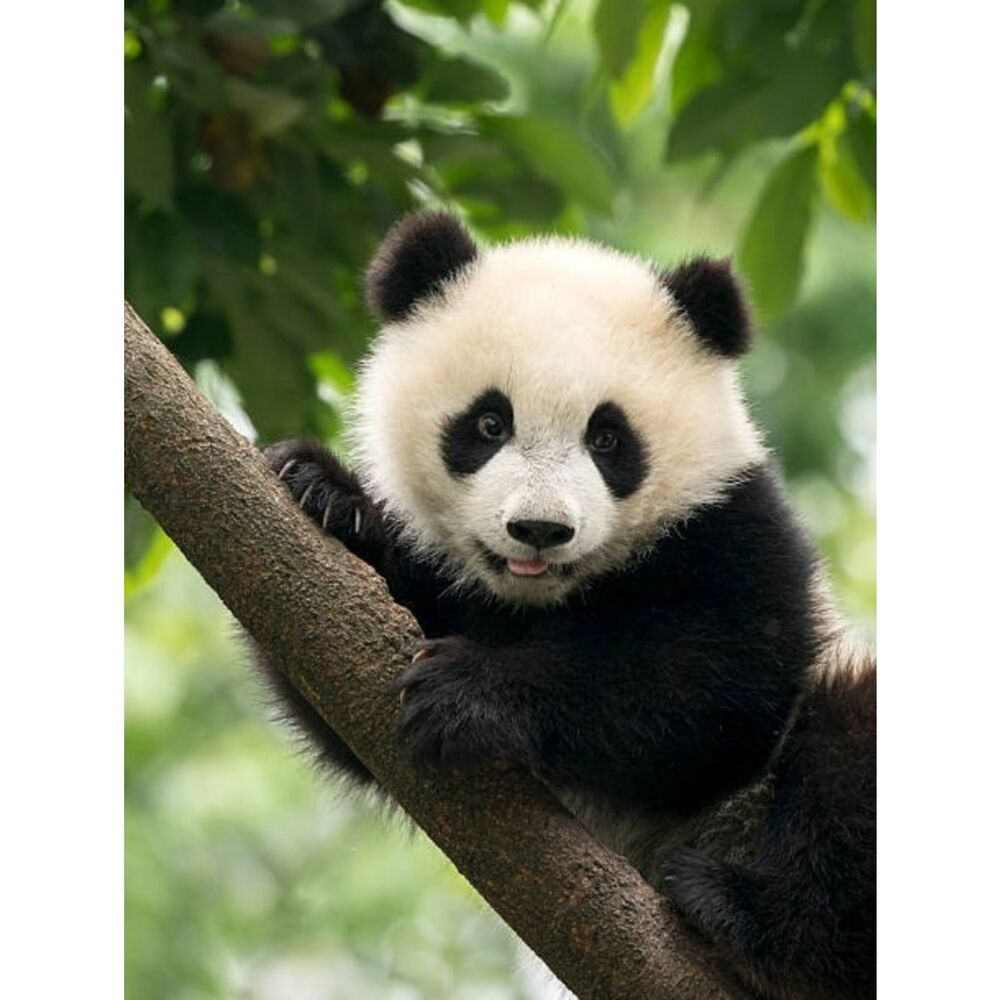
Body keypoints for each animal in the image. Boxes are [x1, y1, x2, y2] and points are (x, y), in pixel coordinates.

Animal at [256, 211, 875, 1000]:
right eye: (489, 423)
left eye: (608, 438)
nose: (540, 530)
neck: (542, 599)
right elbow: (339, 692)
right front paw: (327, 495)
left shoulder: (735, 529)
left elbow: (720, 688)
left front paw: (468, 693)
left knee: (847, 752)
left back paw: (742, 915)